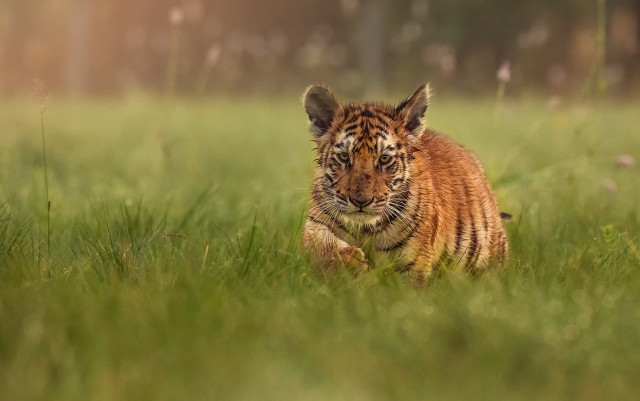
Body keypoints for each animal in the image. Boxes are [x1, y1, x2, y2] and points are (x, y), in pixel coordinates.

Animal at [301, 84, 509, 280]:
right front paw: (355, 263)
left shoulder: (413, 263)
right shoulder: (315, 224)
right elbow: (321, 246)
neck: (365, 229)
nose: (361, 202)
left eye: (384, 159)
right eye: (344, 156)